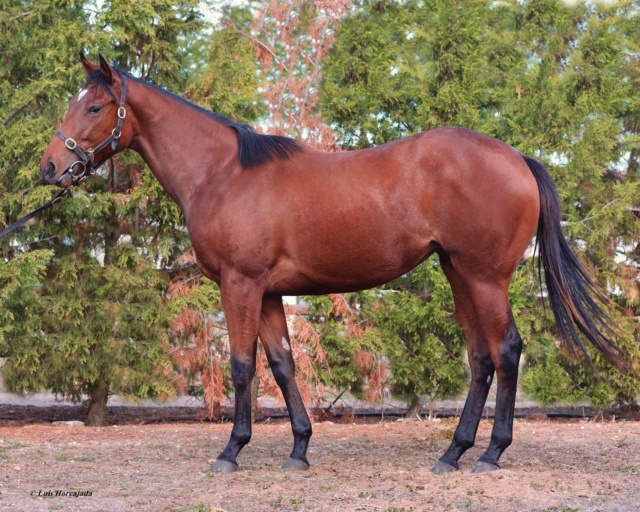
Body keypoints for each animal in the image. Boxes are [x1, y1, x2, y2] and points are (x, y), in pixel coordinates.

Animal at [38, 54, 624, 474]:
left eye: (94, 108)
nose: (49, 168)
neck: (223, 173)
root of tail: (516, 158)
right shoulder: (269, 291)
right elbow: (282, 365)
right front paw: (298, 449)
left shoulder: (240, 284)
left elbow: (243, 366)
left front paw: (231, 451)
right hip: (459, 273)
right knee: (480, 358)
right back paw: (453, 453)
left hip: (485, 277)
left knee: (506, 351)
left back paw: (490, 453)